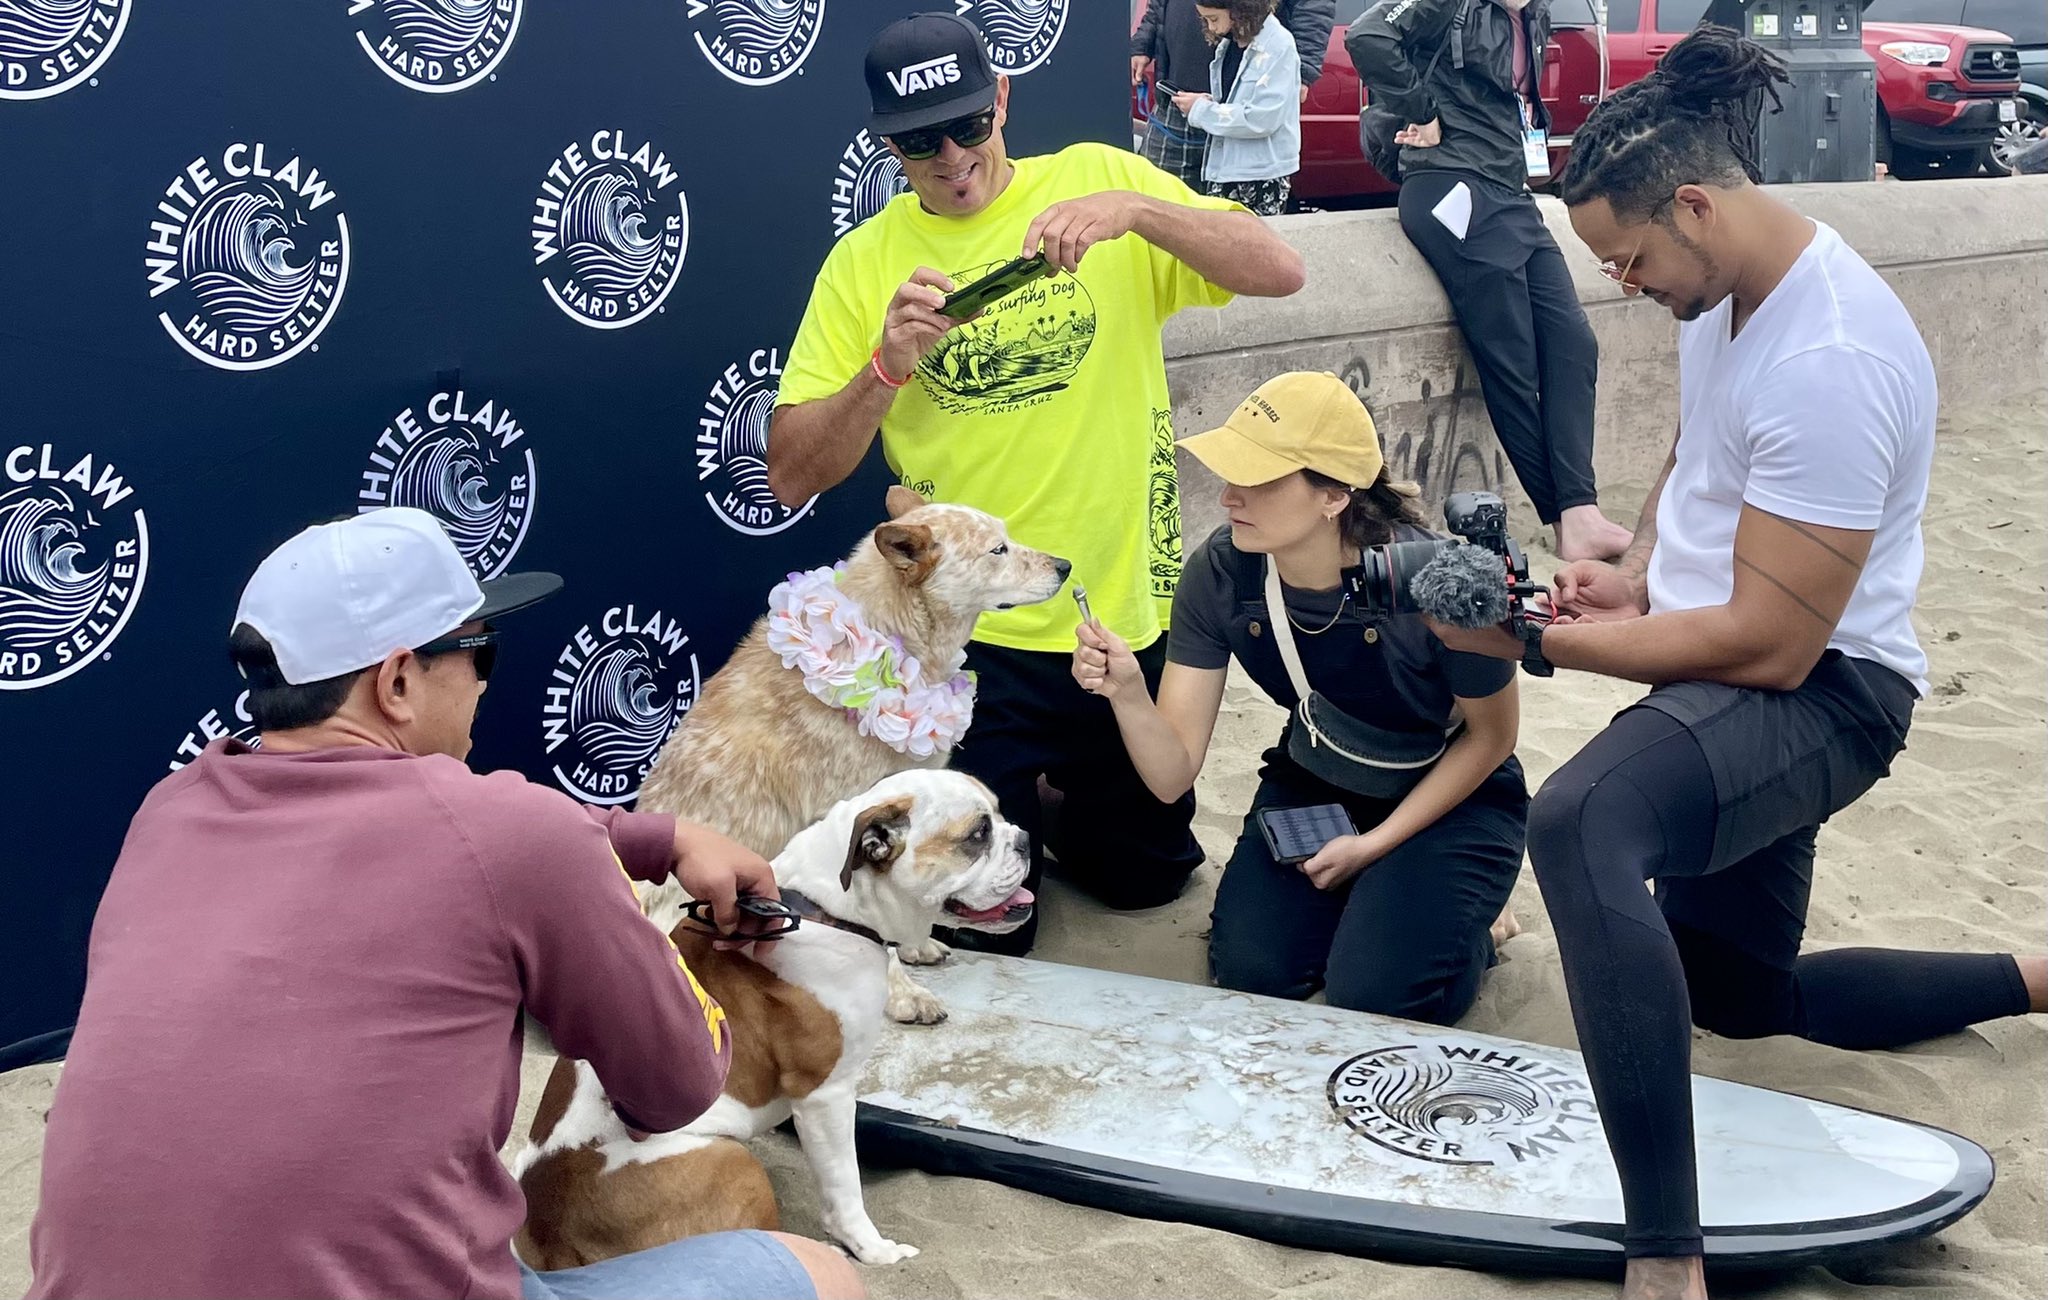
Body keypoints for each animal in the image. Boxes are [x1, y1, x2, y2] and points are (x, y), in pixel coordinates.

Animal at [512, 773, 1024, 1269]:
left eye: (1001, 815)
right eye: (979, 833)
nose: (1022, 838)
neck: (828, 908)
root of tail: (550, 1236)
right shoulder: (826, 1095)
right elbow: (845, 1185)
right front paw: (872, 1249)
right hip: (733, 1162)